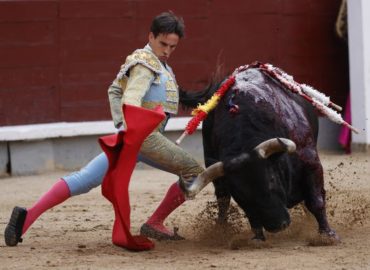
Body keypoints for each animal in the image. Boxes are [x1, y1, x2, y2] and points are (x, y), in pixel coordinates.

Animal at [181, 63, 340, 243]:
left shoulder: (311, 161)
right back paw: (221, 229)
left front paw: (328, 235)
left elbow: (316, 200)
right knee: (223, 201)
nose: (277, 225)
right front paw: (257, 238)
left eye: (271, 179)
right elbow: (243, 211)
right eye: (240, 194)